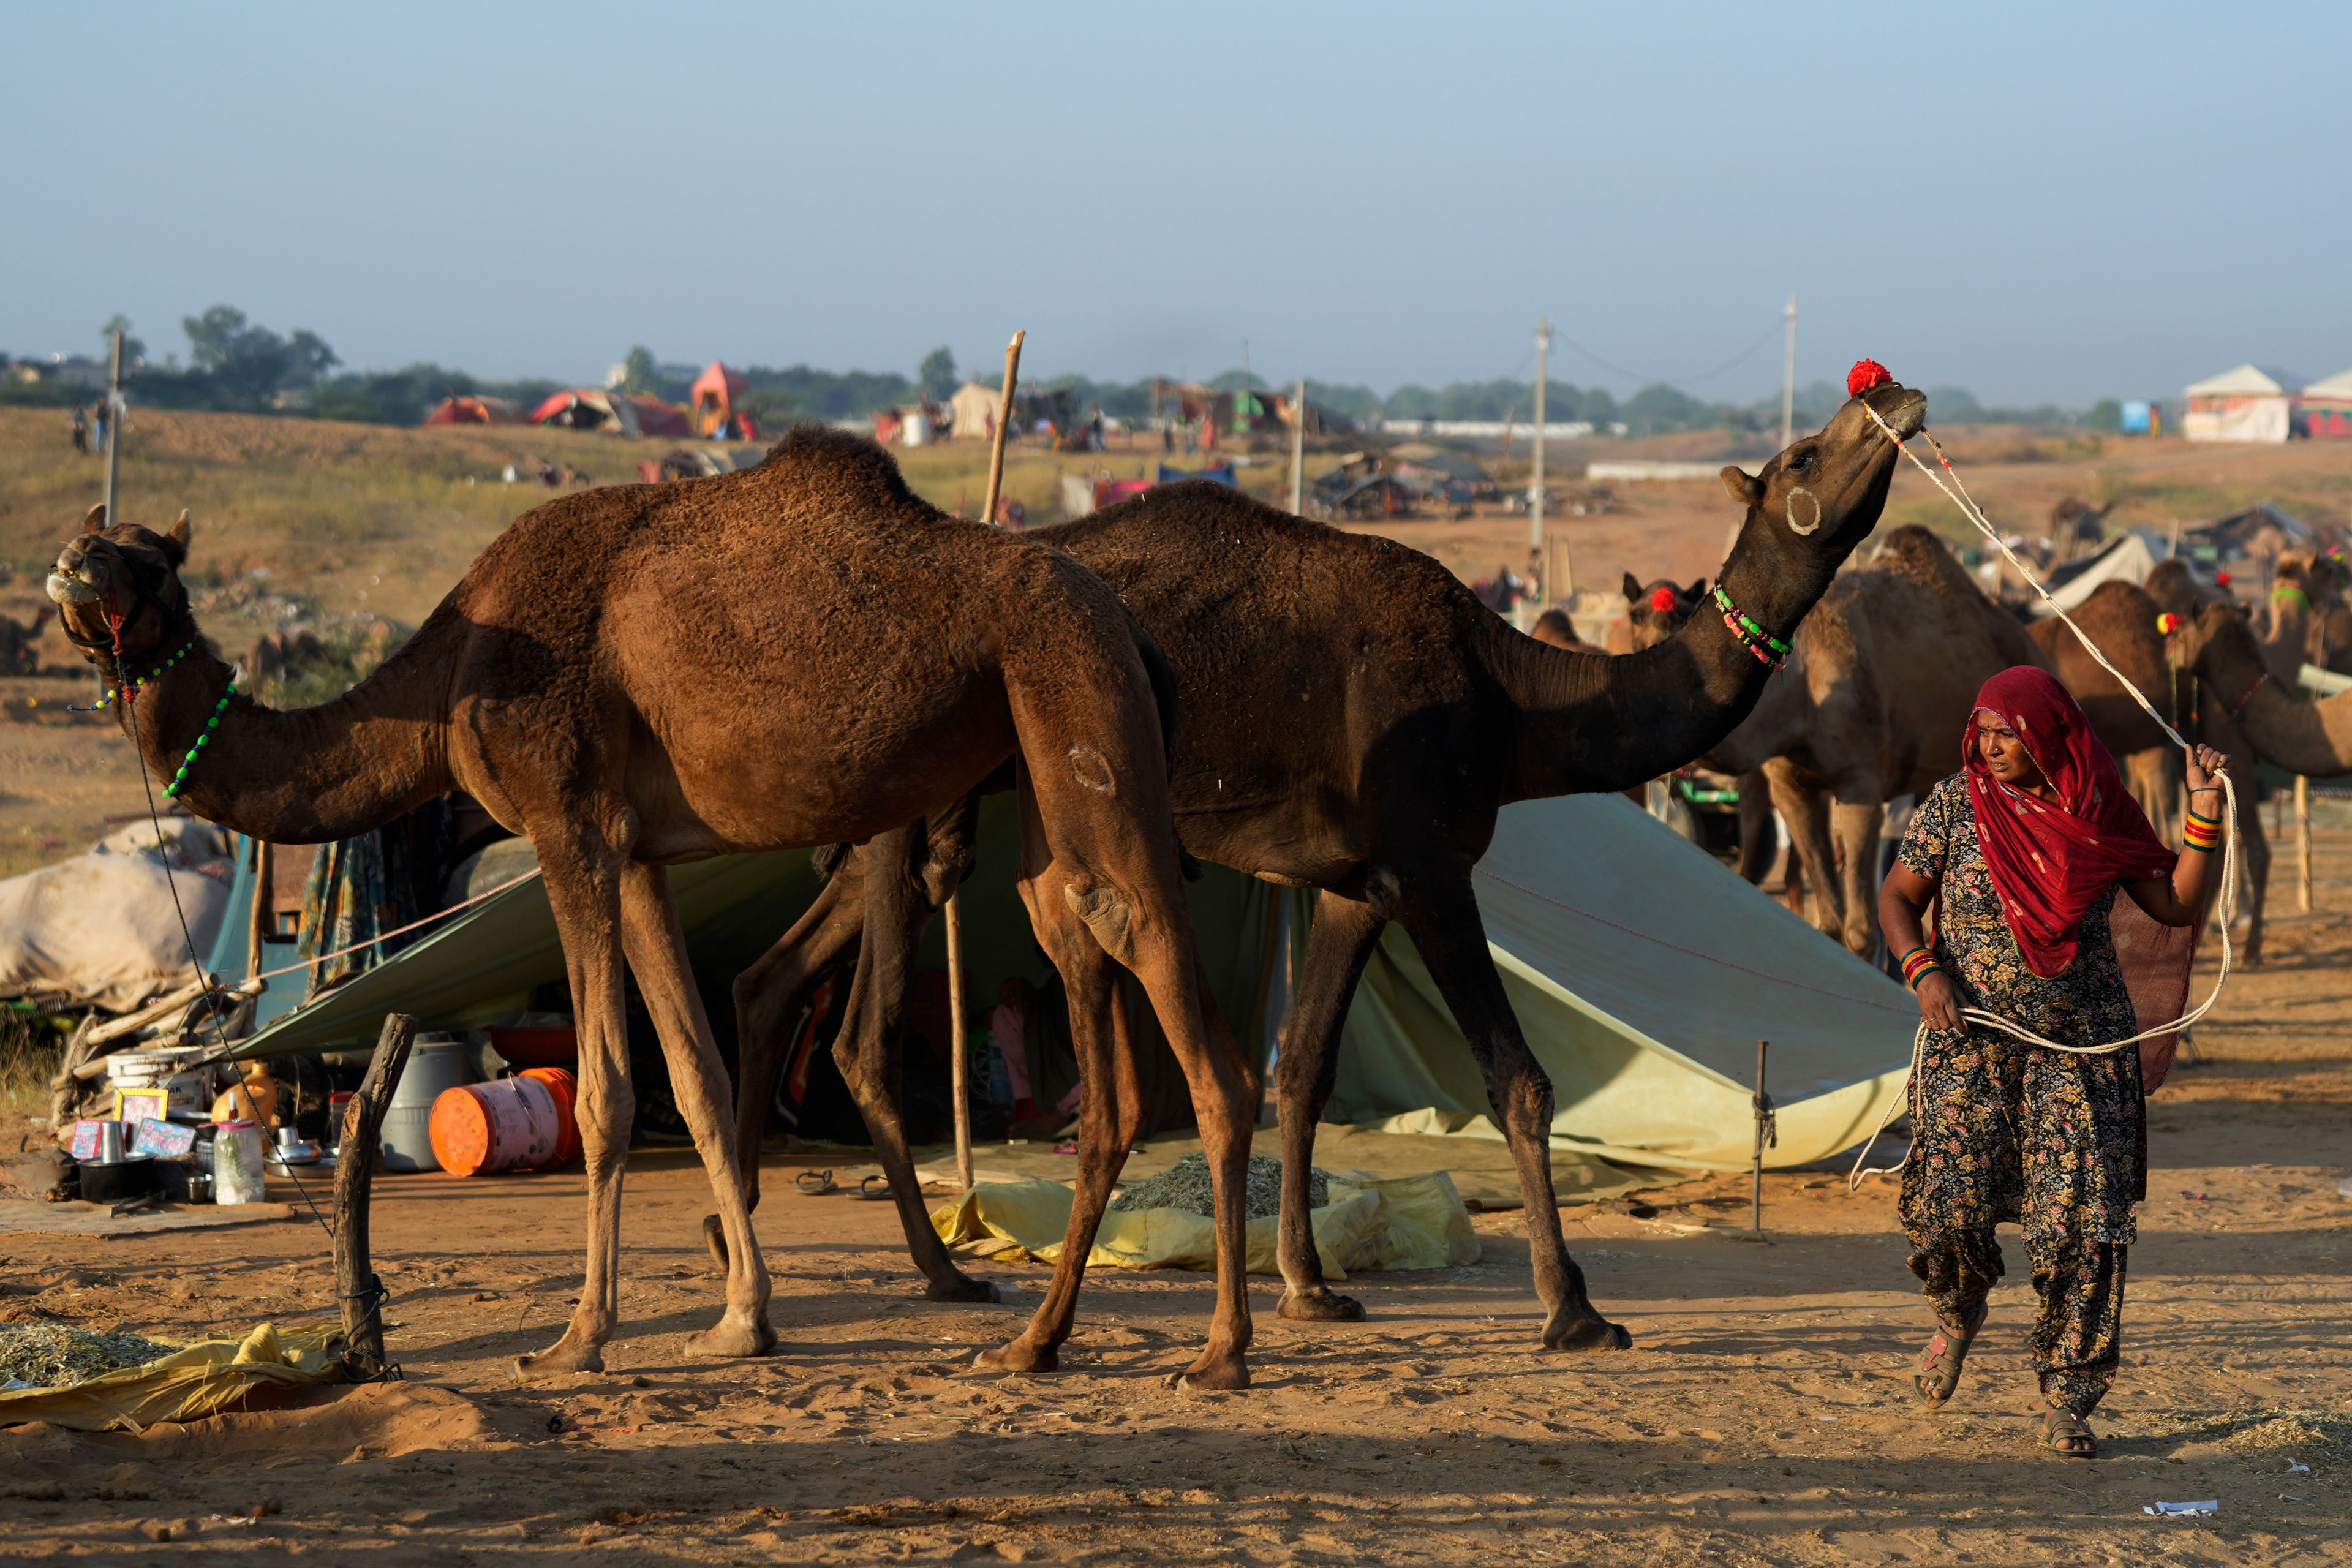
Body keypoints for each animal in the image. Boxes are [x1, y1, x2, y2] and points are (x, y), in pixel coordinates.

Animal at [41, 425, 1270, 1382]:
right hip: (1034, 755)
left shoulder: (566, 824)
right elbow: (699, 1077)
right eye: (102, 542)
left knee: (1161, 976)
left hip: (1078, 691)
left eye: (150, 563)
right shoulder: (637, 855)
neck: (449, 676)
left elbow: (606, 1091)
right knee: (1088, 967)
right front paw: (742, 1322)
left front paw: (579, 1337)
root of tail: (1123, 618)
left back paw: (1219, 1351)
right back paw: (1037, 1342)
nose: (70, 564)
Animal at [706, 376, 1919, 1354]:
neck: (1516, 698)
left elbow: (1304, 1073)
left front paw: (1307, 1285)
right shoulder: (1431, 865)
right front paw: (1574, 1309)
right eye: (1804, 455)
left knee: (773, 976)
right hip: (910, 801)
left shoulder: (1353, 883)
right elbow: (1518, 1080)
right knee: (859, 1028)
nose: (1893, 395)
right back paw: (926, 1271)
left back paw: (750, 1239)